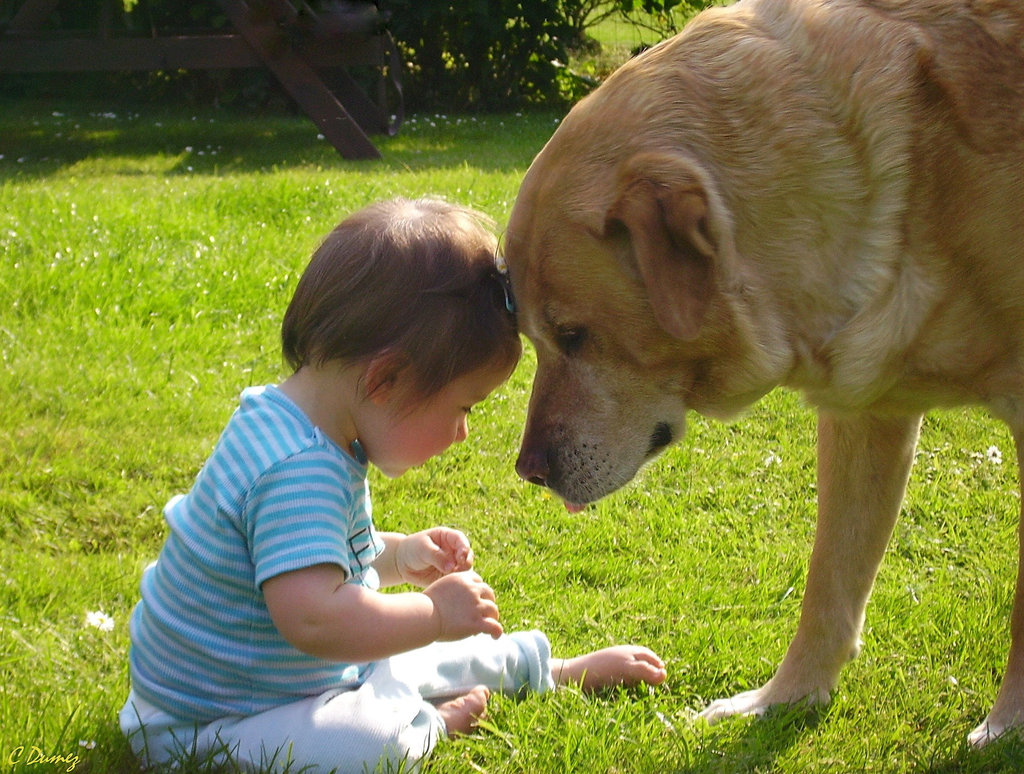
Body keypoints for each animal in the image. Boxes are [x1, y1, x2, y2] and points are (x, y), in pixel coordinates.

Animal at [507, 0, 1024, 745]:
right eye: (533, 338)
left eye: (574, 336)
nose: (529, 471)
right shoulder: (866, 413)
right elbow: (829, 581)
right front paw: (785, 698)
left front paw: (1009, 721)